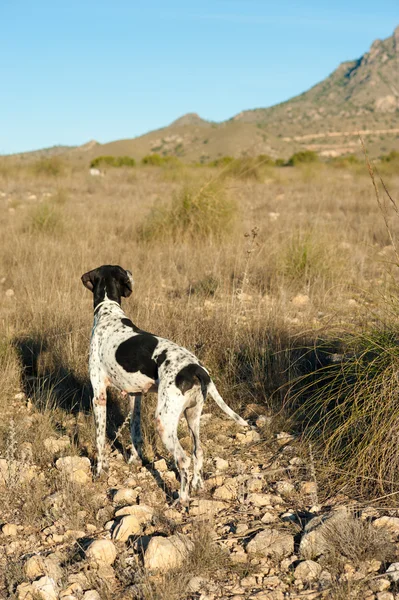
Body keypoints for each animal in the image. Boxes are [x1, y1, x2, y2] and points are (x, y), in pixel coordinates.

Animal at [82, 264, 248, 504]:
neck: (108, 311)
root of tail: (196, 368)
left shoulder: (99, 395)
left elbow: (99, 440)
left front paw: (99, 471)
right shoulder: (135, 395)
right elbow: (135, 431)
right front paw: (134, 460)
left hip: (164, 421)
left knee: (183, 459)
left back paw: (182, 498)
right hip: (192, 415)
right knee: (198, 452)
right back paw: (197, 485)